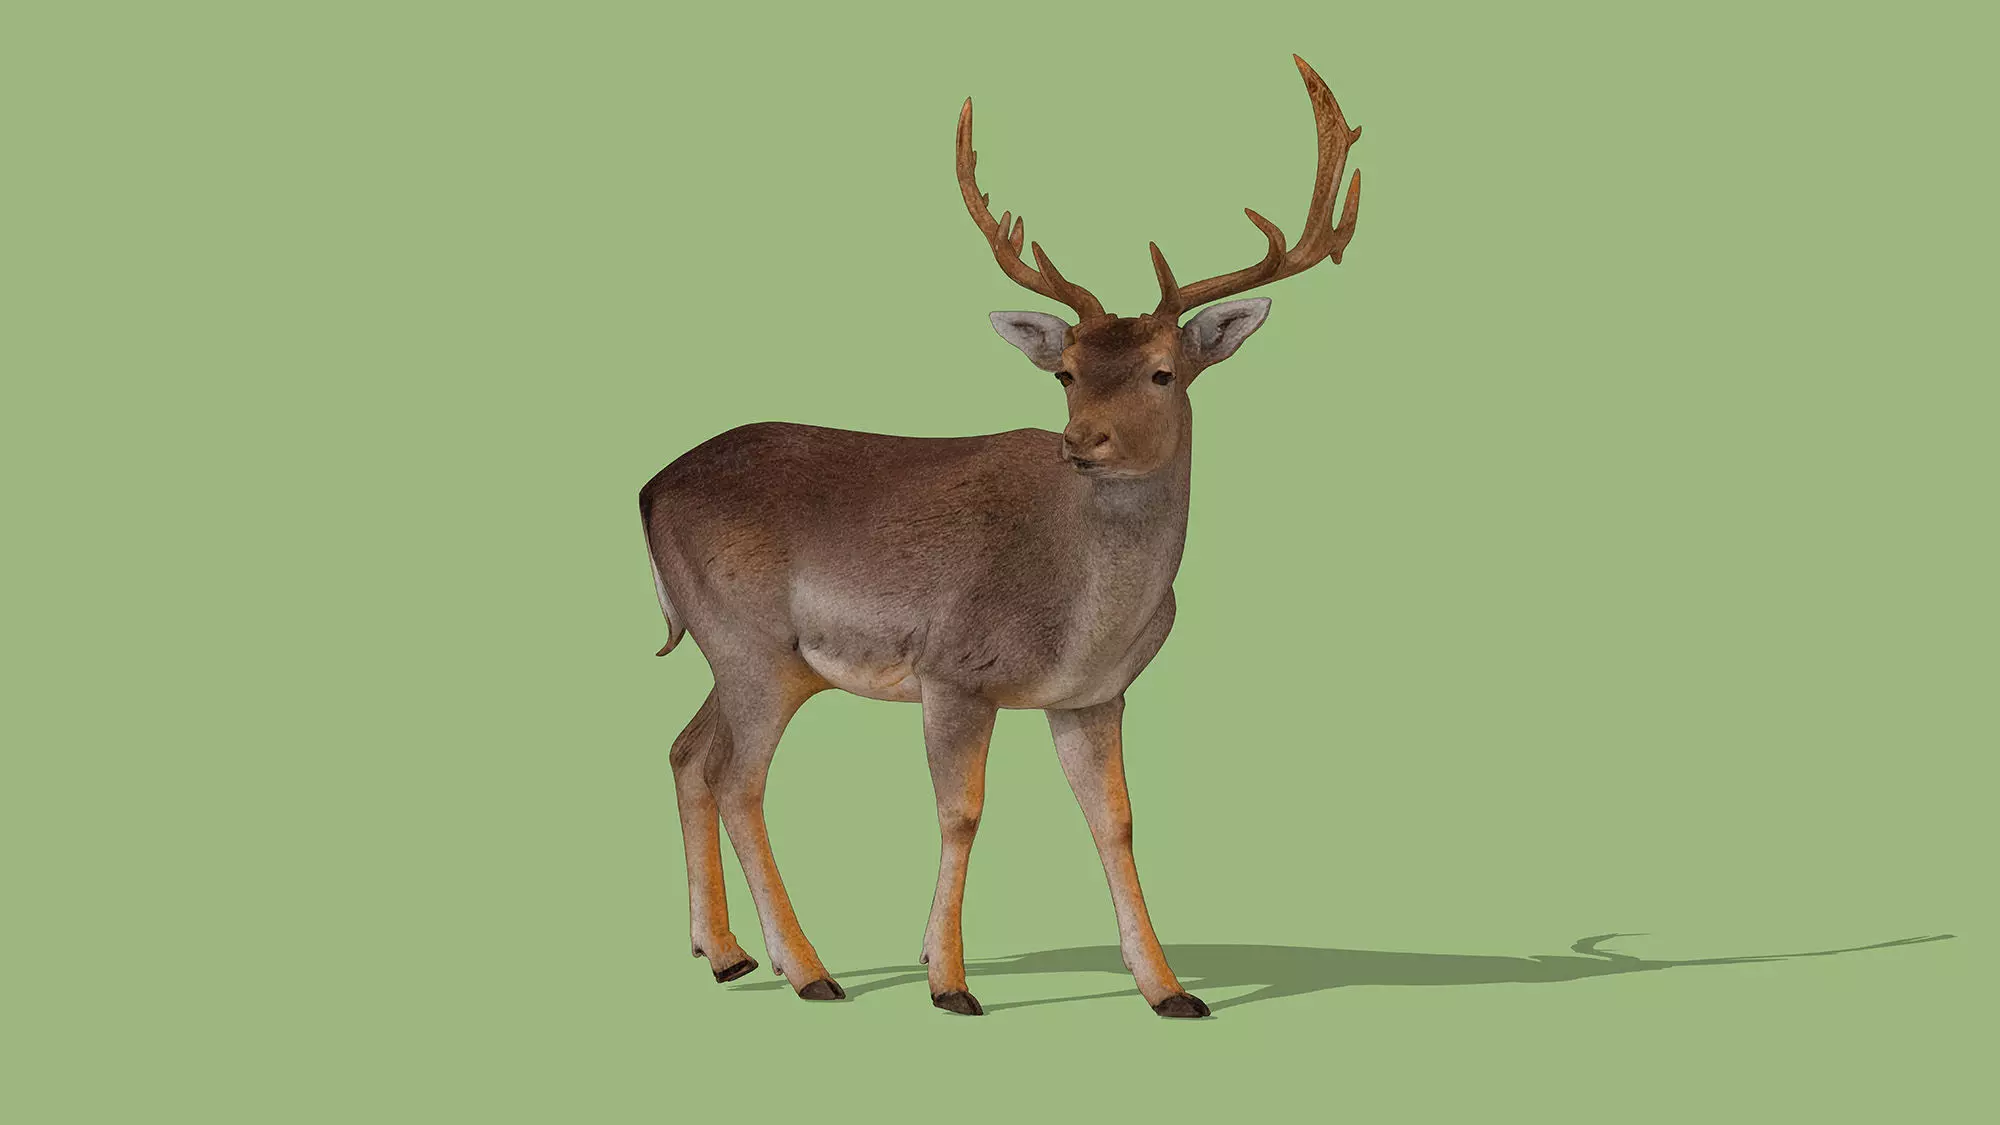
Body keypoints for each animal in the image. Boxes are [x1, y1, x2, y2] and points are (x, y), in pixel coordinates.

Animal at [639, 55, 1361, 1018]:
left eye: (1164, 371)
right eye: (1065, 372)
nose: (1081, 440)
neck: (1084, 615)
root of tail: (646, 491)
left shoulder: (1093, 694)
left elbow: (1116, 820)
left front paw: (1169, 989)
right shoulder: (954, 667)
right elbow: (962, 812)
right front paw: (949, 981)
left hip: (747, 654)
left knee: (688, 752)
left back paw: (723, 952)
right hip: (751, 643)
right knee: (737, 778)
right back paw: (809, 968)